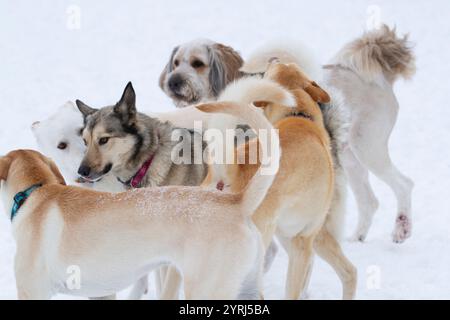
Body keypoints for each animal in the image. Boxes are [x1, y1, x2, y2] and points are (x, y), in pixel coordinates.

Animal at [0, 102, 278, 300]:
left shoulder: (32, 291)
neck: (36, 192)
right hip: (244, 287)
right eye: (63, 144)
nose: (83, 169)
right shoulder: (101, 292)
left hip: (206, 287)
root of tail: (235, 202)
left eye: (84, 136)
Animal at [199, 61, 356, 298]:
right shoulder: (304, 241)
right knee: (349, 273)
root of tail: (231, 166)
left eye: (287, 64)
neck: (298, 113)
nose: (273, 59)